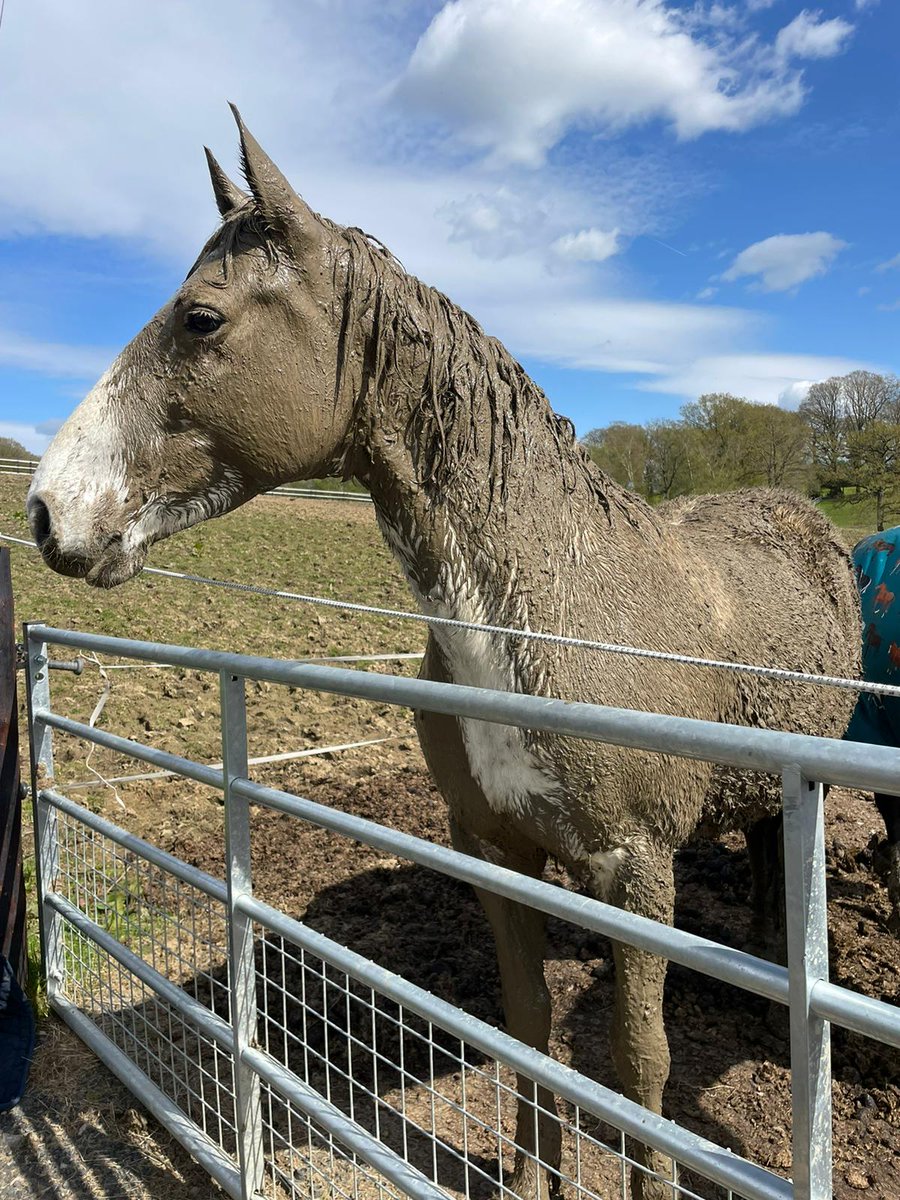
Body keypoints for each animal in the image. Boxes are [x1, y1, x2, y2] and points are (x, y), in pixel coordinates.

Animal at [24, 108, 864, 1195]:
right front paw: (529, 1175)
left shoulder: (638, 872)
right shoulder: (497, 852)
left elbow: (641, 1067)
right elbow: (529, 1028)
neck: (545, 620)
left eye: (201, 319)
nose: (47, 510)